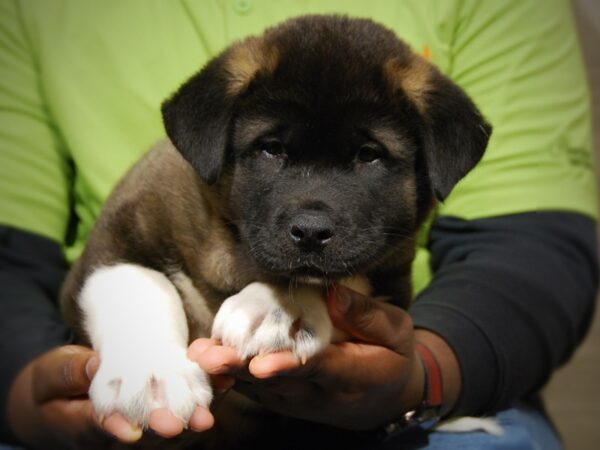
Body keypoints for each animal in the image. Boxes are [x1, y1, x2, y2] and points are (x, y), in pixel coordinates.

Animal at [62, 14, 492, 440]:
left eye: (369, 155)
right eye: (271, 148)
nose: (311, 232)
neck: (234, 250)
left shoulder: (392, 282)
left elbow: (336, 280)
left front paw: (275, 307)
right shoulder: (122, 224)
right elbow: (138, 283)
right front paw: (152, 378)